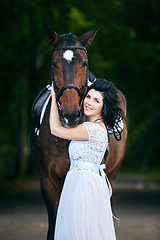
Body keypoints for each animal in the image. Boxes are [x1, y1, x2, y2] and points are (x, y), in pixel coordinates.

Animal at [36, 24, 127, 240]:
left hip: (111, 175)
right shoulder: (47, 181)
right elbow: (54, 226)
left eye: (84, 63)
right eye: (54, 64)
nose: (70, 114)